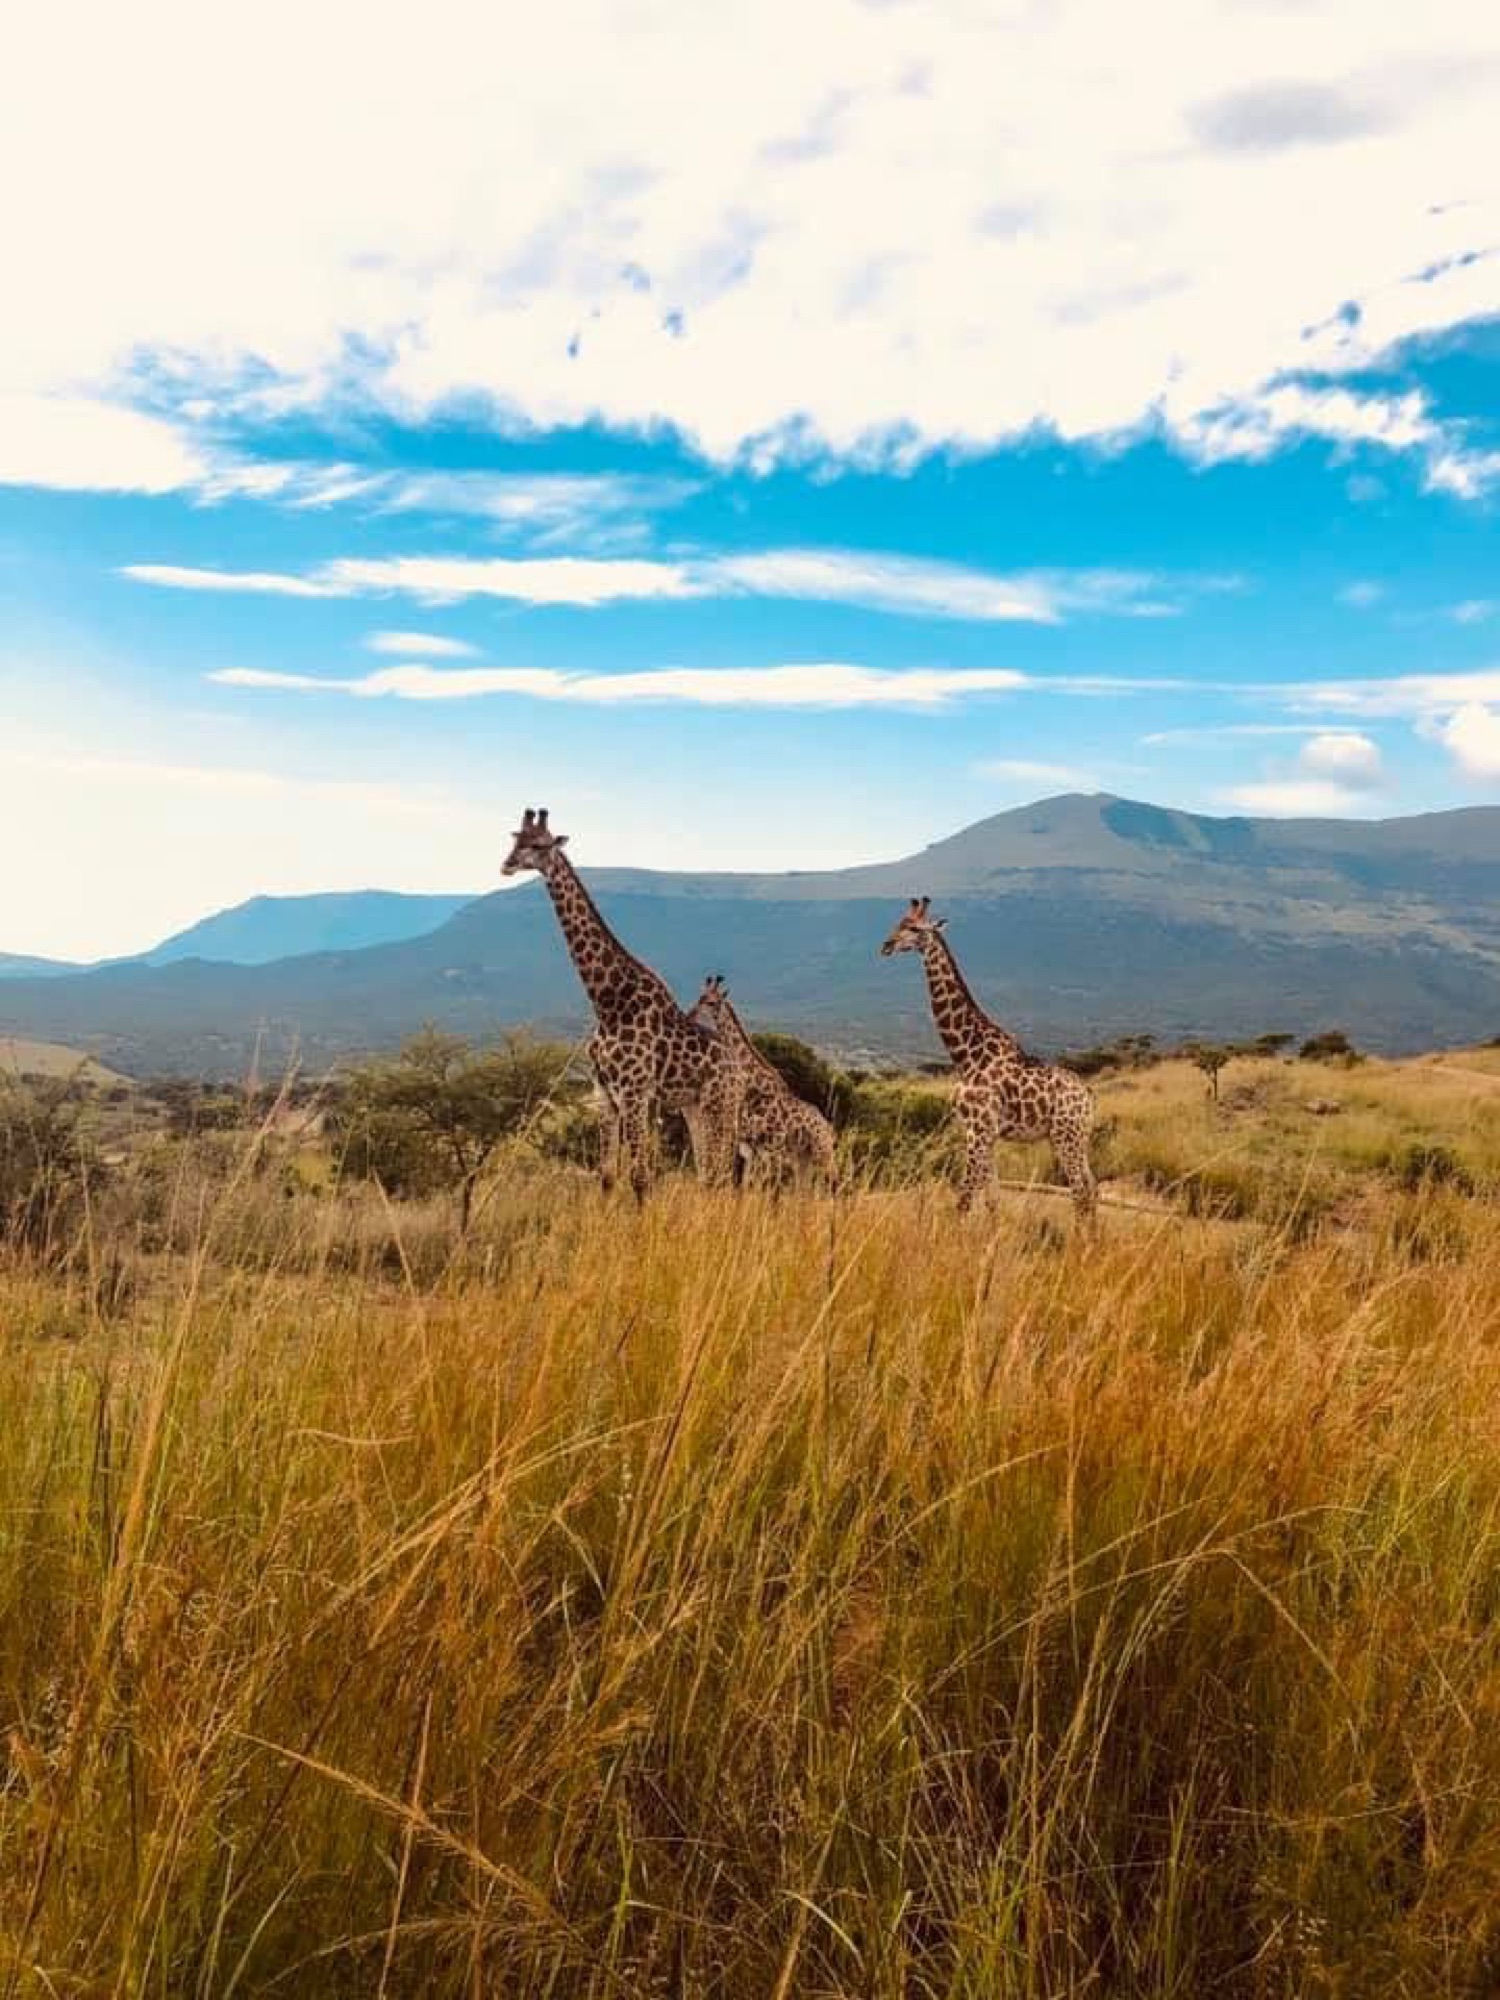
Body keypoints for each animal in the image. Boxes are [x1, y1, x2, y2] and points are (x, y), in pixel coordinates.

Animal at [501, 809, 742, 1198]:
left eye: (539, 845)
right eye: (514, 839)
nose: (506, 865)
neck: (607, 1001)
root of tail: (739, 1069)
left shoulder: (634, 1092)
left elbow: (640, 1178)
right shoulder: (604, 1096)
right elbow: (607, 1177)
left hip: (721, 1105)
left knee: (723, 1175)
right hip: (693, 1108)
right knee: (708, 1174)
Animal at [686, 975, 837, 1187]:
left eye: (711, 1003)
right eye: (699, 997)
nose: (689, 1016)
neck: (753, 1084)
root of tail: (829, 1131)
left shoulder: (765, 1146)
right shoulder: (749, 1145)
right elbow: (746, 1184)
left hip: (823, 1154)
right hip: (803, 1158)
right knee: (804, 1189)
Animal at [879, 897, 1096, 1225]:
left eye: (915, 928)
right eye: (898, 922)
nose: (886, 945)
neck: (966, 1054)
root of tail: (1088, 1097)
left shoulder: (977, 1131)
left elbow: (965, 1198)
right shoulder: (987, 1135)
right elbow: (992, 1199)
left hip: (1065, 1137)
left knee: (1080, 1191)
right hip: (1077, 1138)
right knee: (1092, 1188)